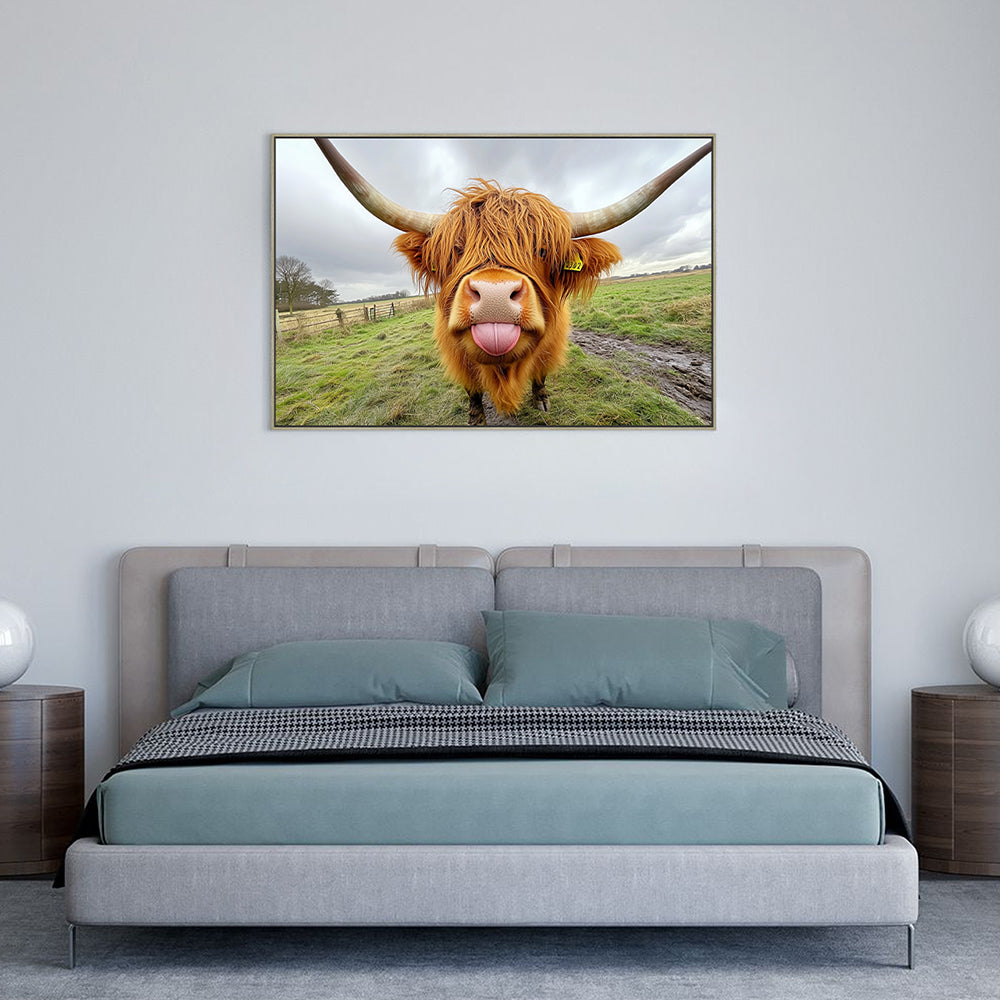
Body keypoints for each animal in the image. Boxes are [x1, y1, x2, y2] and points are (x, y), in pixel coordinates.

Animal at [314, 138, 712, 425]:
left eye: (541, 249)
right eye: (457, 249)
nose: (494, 296)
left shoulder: (550, 347)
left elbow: (540, 376)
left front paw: (542, 401)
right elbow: (472, 389)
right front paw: (475, 415)